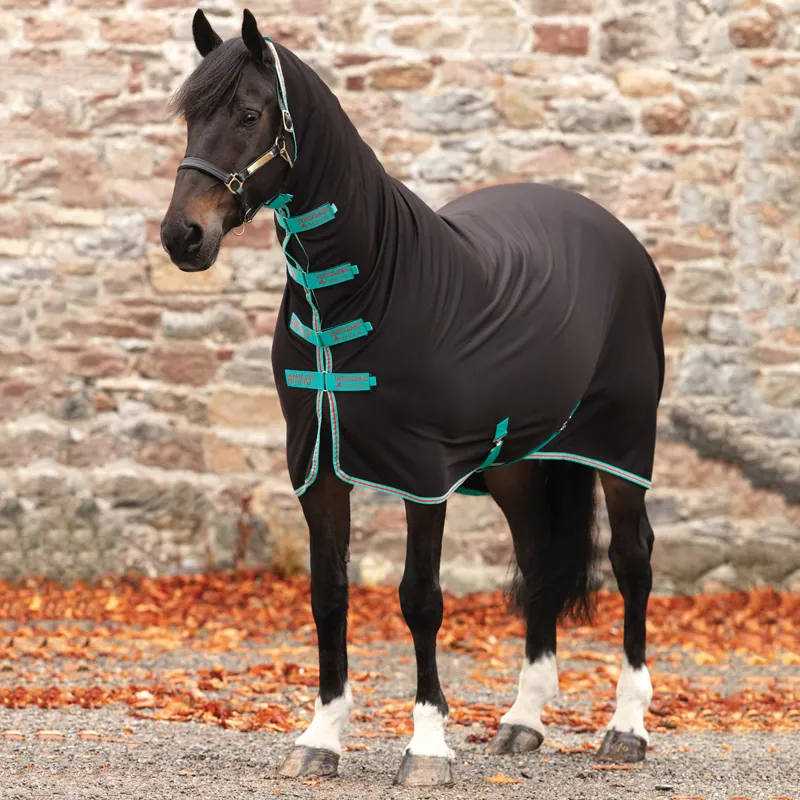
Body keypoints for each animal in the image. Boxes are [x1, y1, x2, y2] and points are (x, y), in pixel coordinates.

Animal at [161, 9, 666, 787]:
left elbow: (420, 600)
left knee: (632, 562)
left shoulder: (423, 477)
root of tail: (618, 237)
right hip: (517, 465)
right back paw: (522, 720)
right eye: (190, 118)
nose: (183, 235)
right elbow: (328, 595)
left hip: (621, 449)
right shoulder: (317, 470)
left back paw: (627, 727)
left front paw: (426, 747)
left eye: (249, 114)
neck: (364, 288)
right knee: (542, 564)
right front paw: (321, 737)